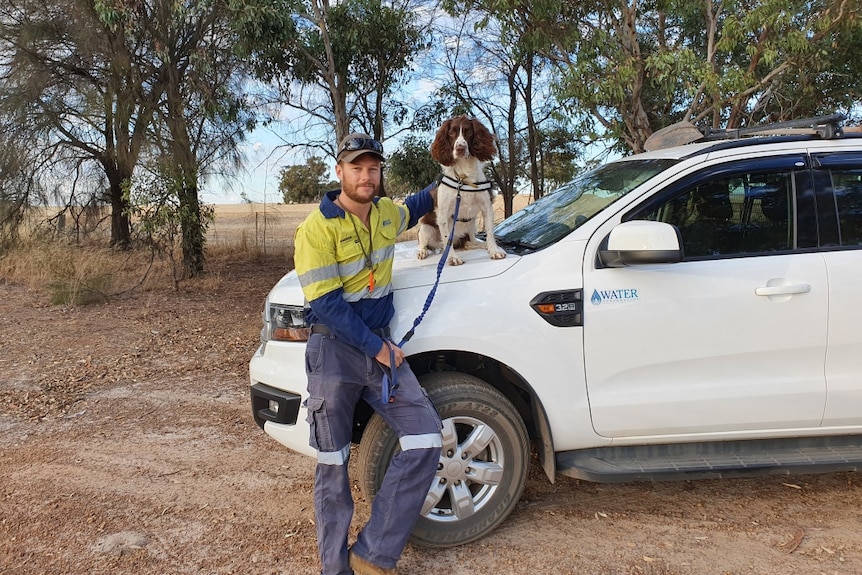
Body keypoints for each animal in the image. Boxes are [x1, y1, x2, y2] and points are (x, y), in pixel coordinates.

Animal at [416, 115, 506, 268]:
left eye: (468, 132)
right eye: (451, 132)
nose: (460, 148)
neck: (464, 177)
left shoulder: (487, 207)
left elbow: (489, 232)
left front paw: (494, 250)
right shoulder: (443, 213)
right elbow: (447, 239)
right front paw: (452, 257)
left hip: (470, 226)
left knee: (471, 242)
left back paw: (482, 245)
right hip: (426, 228)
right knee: (426, 244)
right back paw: (422, 251)